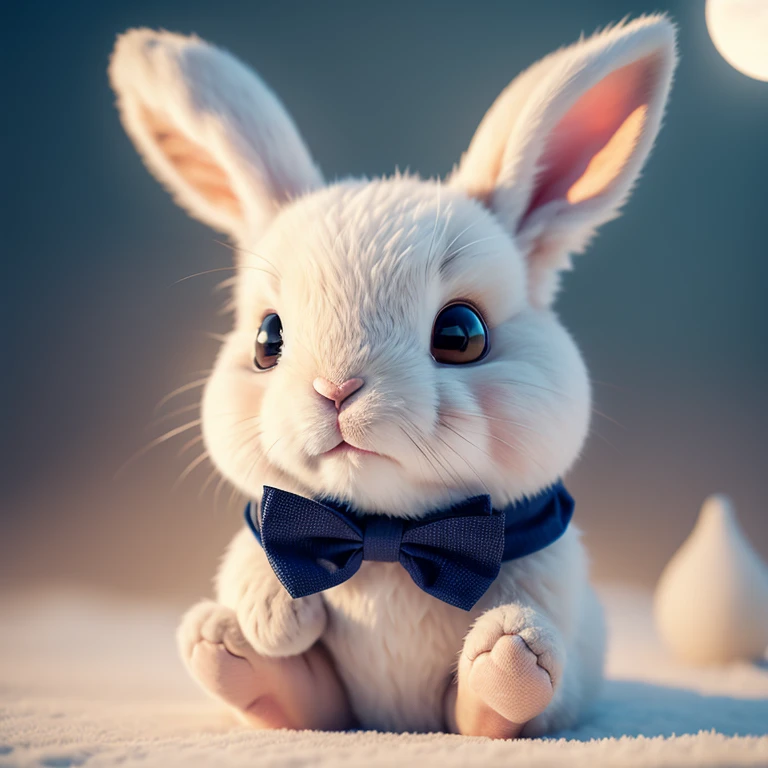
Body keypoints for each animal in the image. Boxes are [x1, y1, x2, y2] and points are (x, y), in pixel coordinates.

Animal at [109, 13, 680, 736]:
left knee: (498, 694)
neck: (386, 542)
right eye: (268, 338)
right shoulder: (265, 524)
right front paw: (274, 615)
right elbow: (253, 556)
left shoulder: (544, 555)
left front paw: (512, 643)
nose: (337, 388)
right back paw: (232, 644)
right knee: (285, 691)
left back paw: (506, 663)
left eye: (461, 334)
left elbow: (540, 592)